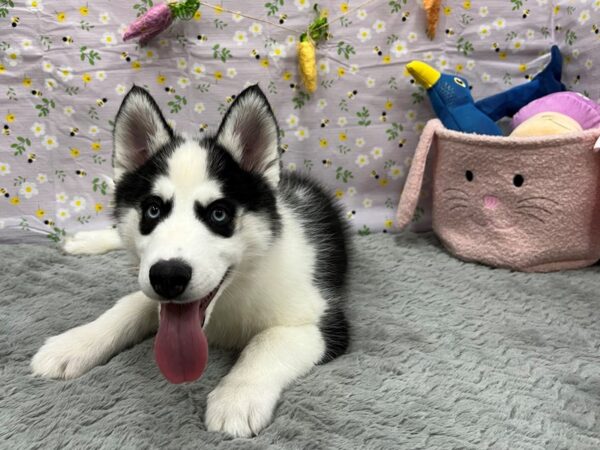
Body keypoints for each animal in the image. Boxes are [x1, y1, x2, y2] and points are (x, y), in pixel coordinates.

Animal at [31, 83, 352, 436]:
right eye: (152, 210)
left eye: (219, 214)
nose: (168, 277)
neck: (231, 296)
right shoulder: (149, 282)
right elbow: (128, 305)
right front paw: (74, 343)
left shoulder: (322, 324)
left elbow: (267, 341)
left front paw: (237, 398)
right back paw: (84, 241)